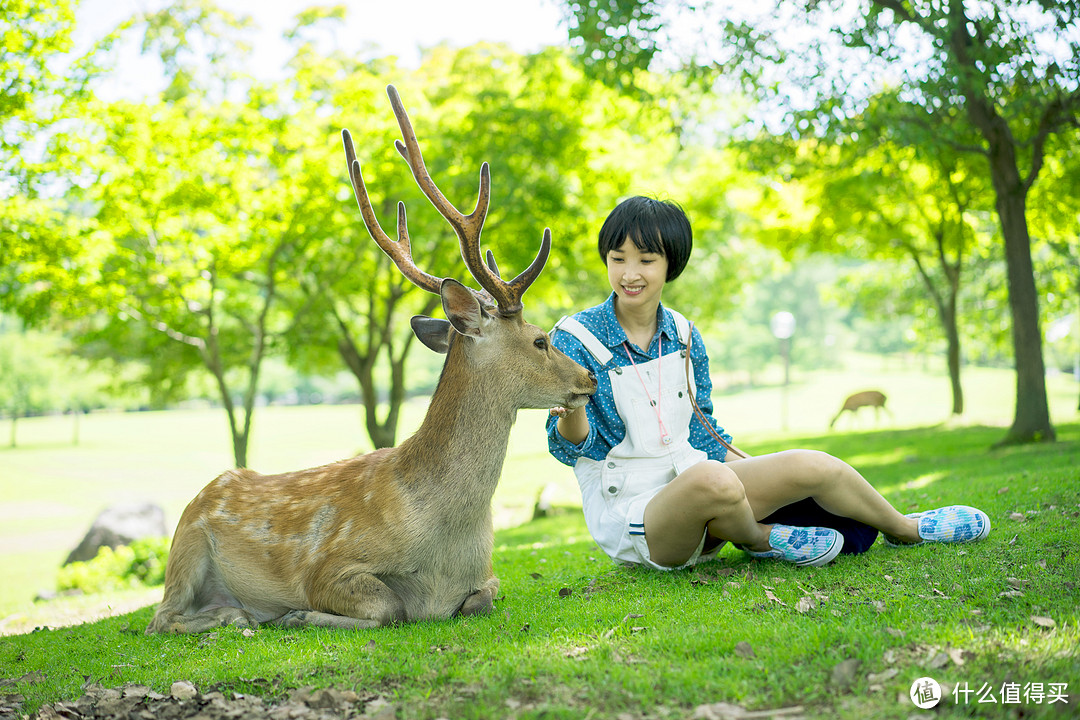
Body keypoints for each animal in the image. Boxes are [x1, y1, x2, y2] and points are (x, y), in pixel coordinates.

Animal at [142, 85, 596, 634]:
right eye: (539, 340)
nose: (590, 378)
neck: (448, 543)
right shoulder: (328, 565)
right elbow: (389, 607)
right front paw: (298, 613)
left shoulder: (487, 575)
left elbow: (481, 599)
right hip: (184, 546)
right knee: (161, 618)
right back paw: (241, 616)